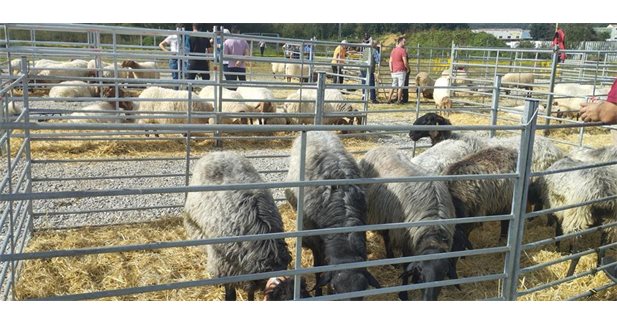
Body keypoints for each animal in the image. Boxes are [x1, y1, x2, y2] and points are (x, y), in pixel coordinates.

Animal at [286, 130, 380, 298]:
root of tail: (315, 130)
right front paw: (318, 294)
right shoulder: (317, 243)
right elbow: (319, 270)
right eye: (334, 288)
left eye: (362, 293)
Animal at [356, 146, 458, 298]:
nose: (428, 299)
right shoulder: (405, 240)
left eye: (444, 274)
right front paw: (403, 294)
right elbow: (406, 265)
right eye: (421, 273)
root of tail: (377, 148)